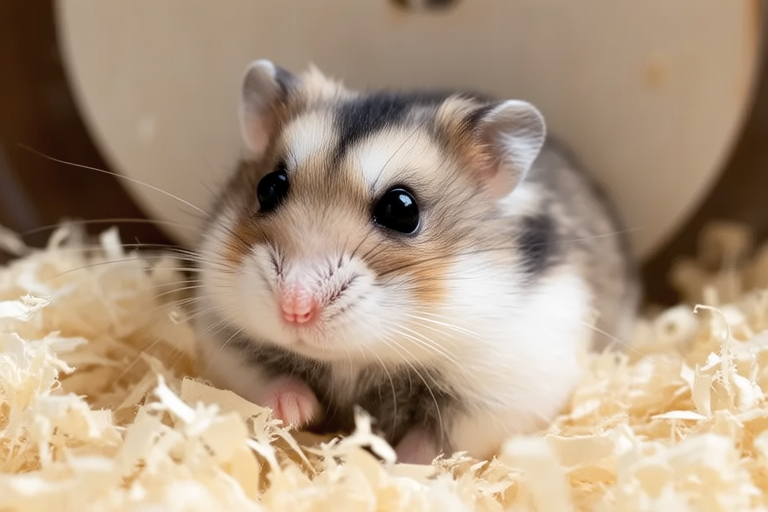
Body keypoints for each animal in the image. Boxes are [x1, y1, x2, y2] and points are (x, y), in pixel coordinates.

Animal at [192, 59, 640, 464]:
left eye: (402, 209)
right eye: (269, 187)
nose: (294, 309)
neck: (351, 359)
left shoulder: (501, 396)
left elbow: (433, 443)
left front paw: (393, 466)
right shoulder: (226, 341)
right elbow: (266, 382)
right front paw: (297, 412)